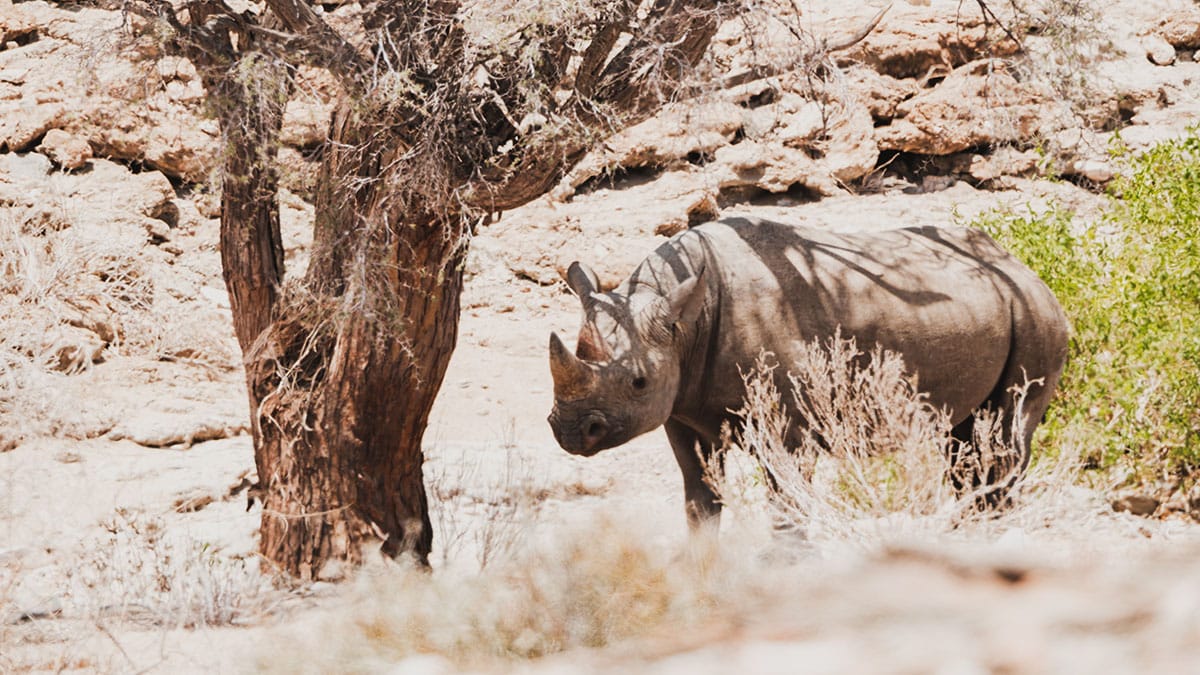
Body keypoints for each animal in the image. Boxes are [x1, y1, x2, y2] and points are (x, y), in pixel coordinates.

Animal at [547, 217, 1069, 528]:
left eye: (638, 382)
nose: (570, 432)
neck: (684, 323)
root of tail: (1023, 267)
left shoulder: (788, 426)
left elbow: (787, 498)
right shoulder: (680, 410)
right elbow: (700, 497)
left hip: (1037, 317)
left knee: (1004, 440)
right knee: (963, 443)